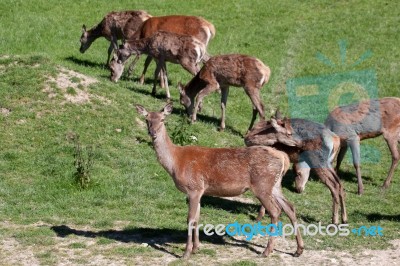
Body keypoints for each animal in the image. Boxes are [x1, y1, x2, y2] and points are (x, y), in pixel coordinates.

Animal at [134, 103, 304, 258]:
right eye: (147, 119)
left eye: (163, 119)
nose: (152, 132)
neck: (176, 162)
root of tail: (283, 157)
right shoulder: (199, 191)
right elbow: (197, 217)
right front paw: (196, 248)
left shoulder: (194, 187)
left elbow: (190, 218)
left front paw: (186, 253)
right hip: (275, 185)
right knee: (290, 207)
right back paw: (298, 250)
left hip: (262, 185)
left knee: (275, 210)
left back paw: (266, 251)